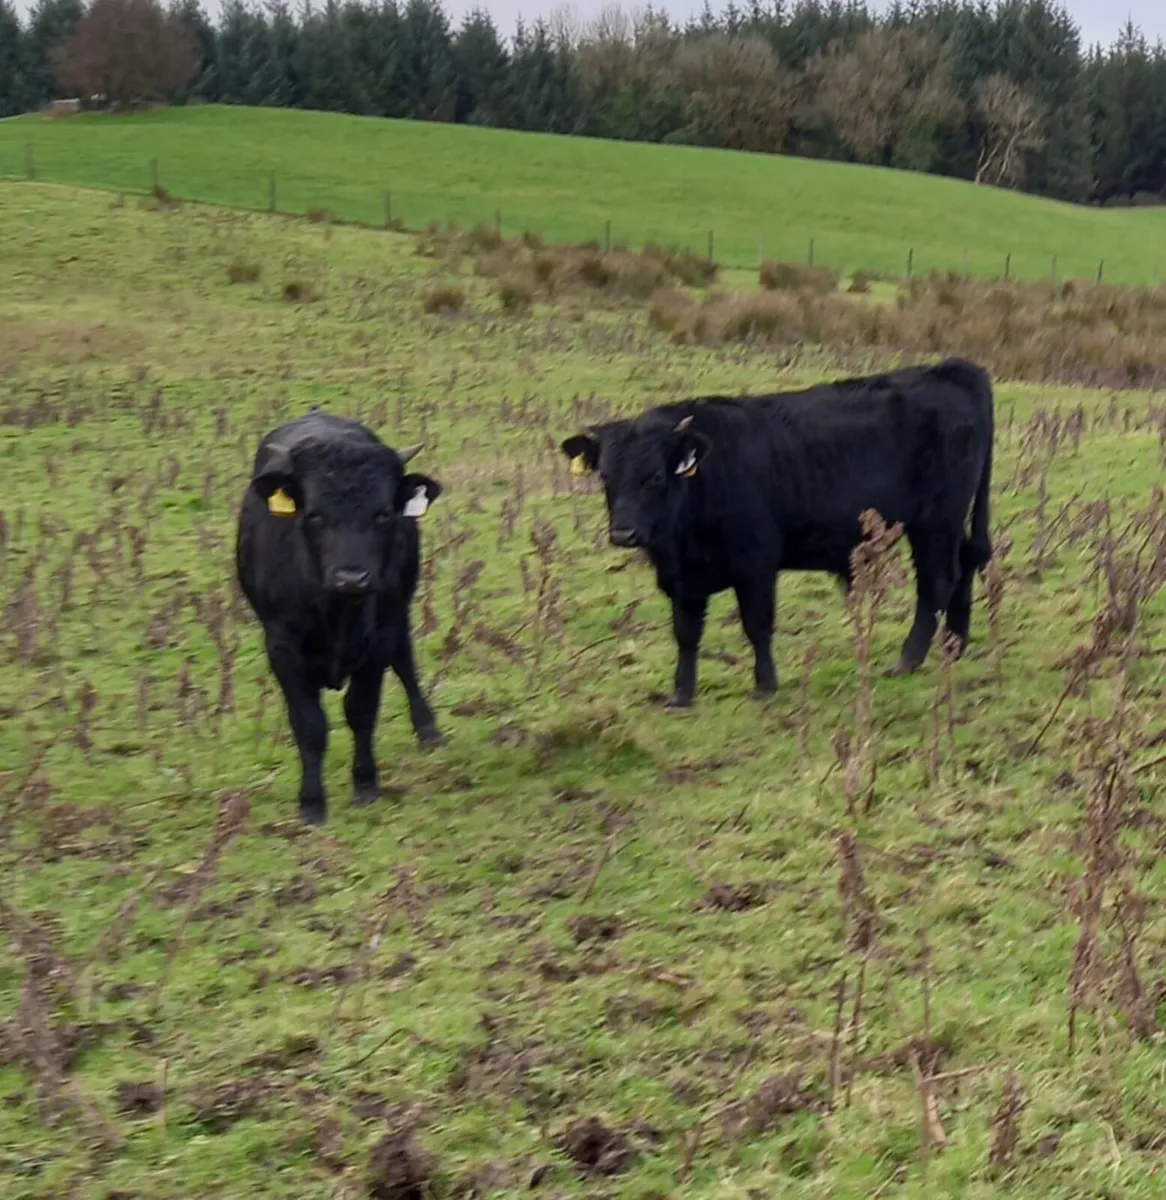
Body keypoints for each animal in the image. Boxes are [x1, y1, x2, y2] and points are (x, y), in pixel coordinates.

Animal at [235, 410, 444, 825]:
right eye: (314, 515)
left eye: (382, 514)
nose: (351, 577)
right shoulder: (281, 646)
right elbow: (309, 723)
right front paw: (312, 803)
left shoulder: (379, 637)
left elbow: (361, 710)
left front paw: (365, 784)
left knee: (405, 661)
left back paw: (428, 728)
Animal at [559, 357, 994, 707]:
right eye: (606, 478)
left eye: (655, 477)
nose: (624, 533)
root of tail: (950, 368)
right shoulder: (684, 579)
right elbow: (686, 633)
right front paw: (681, 694)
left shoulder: (756, 563)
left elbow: (756, 625)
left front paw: (765, 686)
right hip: (949, 523)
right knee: (964, 564)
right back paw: (955, 645)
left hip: (935, 521)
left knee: (938, 582)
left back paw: (909, 659)